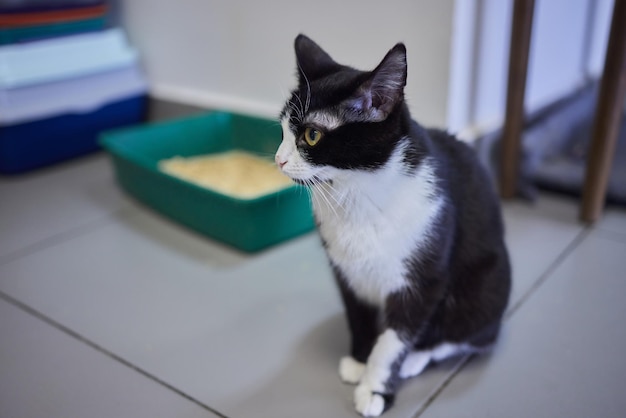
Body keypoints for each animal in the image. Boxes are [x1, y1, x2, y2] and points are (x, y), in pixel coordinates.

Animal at [276, 34, 510, 416]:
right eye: (282, 129)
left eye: (312, 135)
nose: (278, 159)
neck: (356, 192)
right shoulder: (346, 271)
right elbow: (358, 315)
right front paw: (359, 361)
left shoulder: (424, 272)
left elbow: (394, 340)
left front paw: (376, 387)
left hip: (487, 286)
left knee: (471, 335)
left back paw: (418, 357)